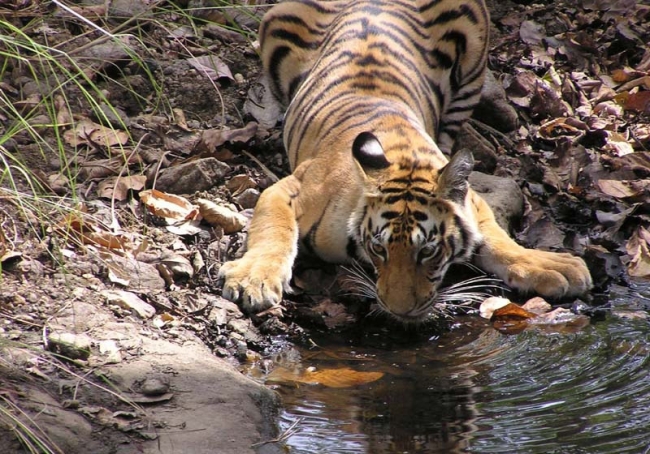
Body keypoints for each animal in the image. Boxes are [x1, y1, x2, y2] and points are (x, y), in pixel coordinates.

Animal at [218, 0, 593, 322]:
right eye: (379, 249)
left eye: (427, 252)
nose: (400, 310)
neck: (404, 155)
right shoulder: (291, 187)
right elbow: (273, 229)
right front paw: (254, 280)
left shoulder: (470, 201)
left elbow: (497, 238)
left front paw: (551, 265)